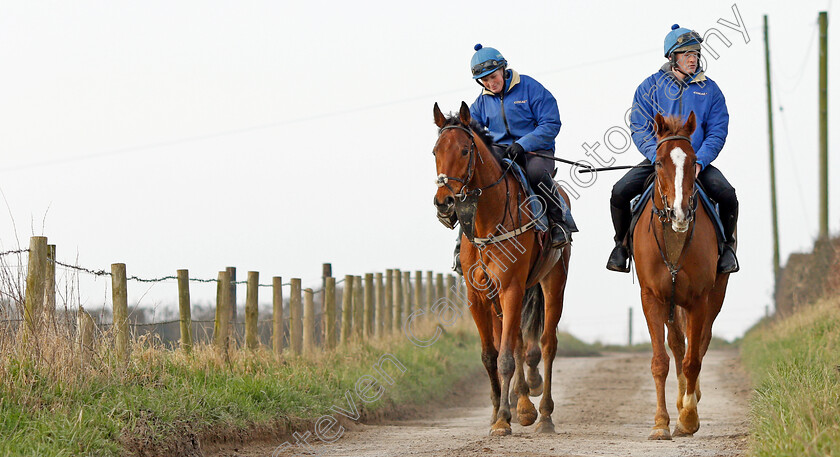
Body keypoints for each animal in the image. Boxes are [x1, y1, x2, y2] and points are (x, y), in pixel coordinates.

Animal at [434, 101, 572, 436]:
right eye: (435, 151)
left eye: (464, 151)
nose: (444, 203)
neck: (488, 220)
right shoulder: (478, 295)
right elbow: (490, 355)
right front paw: (499, 411)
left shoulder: (511, 287)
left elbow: (507, 358)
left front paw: (502, 420)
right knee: (520, 342)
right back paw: (523, 407)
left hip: (553, 281)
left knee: (547, 344)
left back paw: (544, 415)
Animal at [632, 110, 732, 438]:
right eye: (659, 162)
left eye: (693, 160)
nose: (679, 213)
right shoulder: (652, 298)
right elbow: (661, 361)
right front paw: (661, 423)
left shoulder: (700, 299)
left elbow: (693, 360)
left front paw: (688, 418)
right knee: (677, 345)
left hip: (713, 296)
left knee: (699, 345)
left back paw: (691, 401)